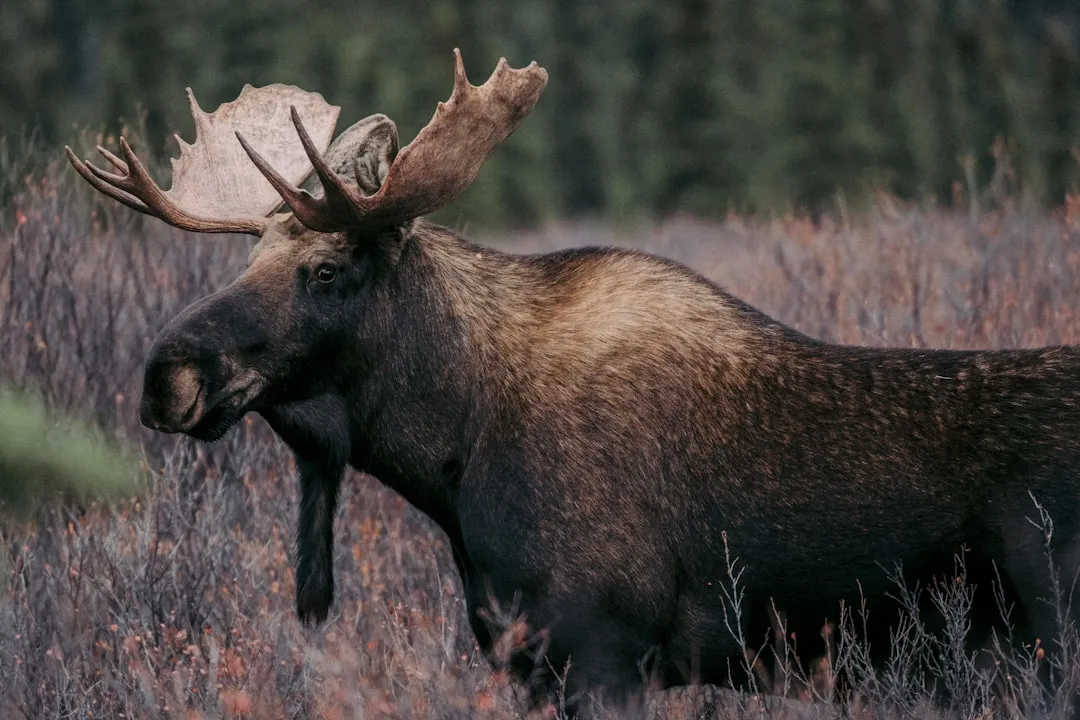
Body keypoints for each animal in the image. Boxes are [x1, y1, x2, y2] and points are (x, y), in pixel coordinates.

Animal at [66, 50, 1080, 717]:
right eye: (249, 260)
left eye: (326, 269)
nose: (165, 375)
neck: (453, 450)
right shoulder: (528, 659)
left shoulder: (603, 651)